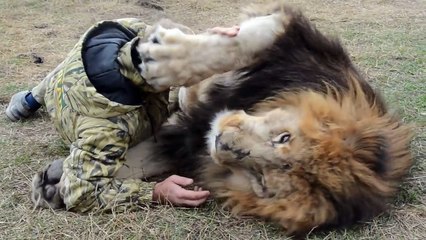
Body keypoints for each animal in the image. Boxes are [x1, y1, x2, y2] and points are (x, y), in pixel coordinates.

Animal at [119, 0, 412, 236]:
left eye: (261, 179)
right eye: (284, 138)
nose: (222, 143)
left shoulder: (185, 141)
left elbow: (133, 165)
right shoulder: (295, 42)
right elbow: (242, 43)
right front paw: (163, 59)